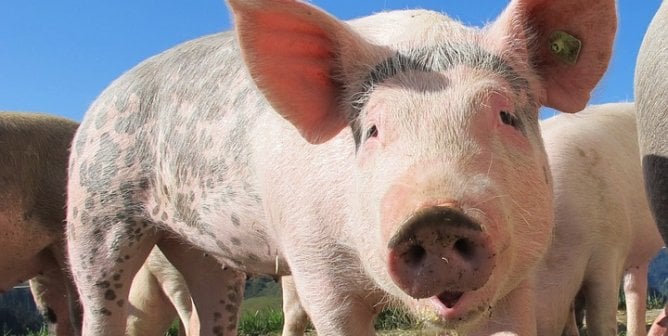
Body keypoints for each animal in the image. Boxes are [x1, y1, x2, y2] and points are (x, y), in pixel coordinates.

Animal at [66, 0, 616, 334]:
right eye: (371, 130)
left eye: (505, 116)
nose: (437, 217)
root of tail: (99, 103)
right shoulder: (314, 267)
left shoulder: (521, 273)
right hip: (97, 209)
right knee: (100, 303)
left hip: (204, 252)